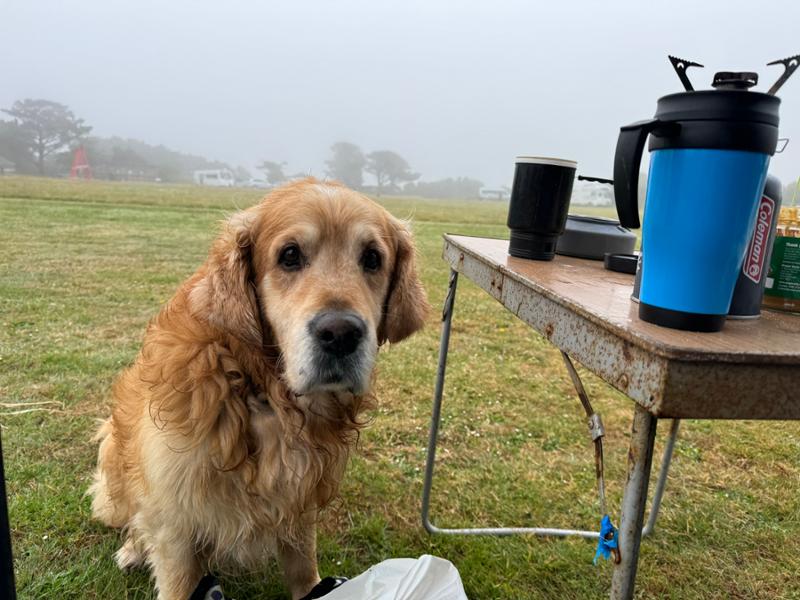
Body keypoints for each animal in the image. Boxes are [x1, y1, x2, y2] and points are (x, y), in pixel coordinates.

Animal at [89, 178, 432, 600]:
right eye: (289, 255)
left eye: (372, 259)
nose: (340, 334)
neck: (261, 391)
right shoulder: (176, 519)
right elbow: (179, 578)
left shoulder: (300, 501)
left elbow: (303, 568)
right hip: (113, 458)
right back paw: (133, 549)